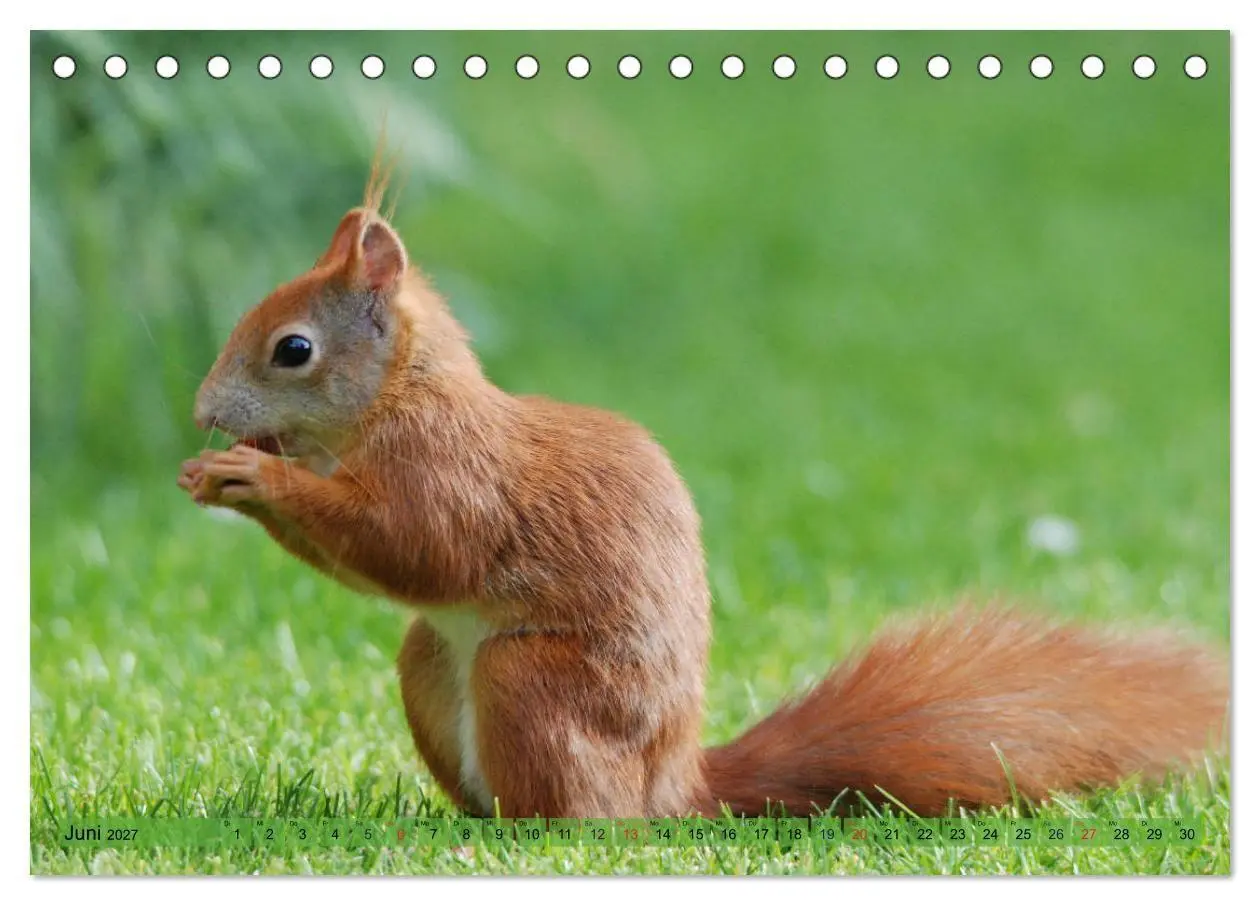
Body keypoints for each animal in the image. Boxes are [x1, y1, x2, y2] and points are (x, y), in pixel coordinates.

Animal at [178, 153, 1228, 820]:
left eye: (293, 350)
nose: (201, 412)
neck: (401, 400)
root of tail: (676, 784)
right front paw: (217, 471)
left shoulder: (449, 473)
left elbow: (412, 545)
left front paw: (249, 473)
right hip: (429, 662)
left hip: (533, 680)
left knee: (589, 815)